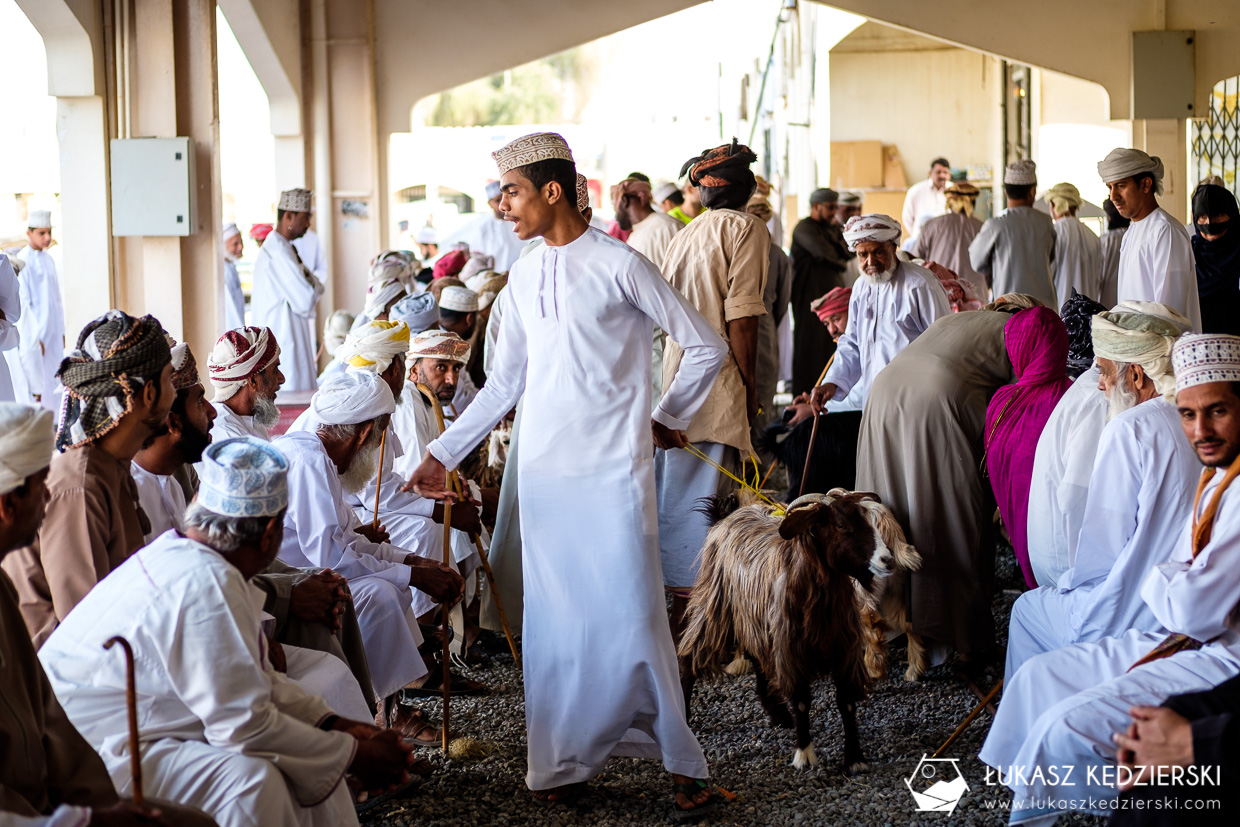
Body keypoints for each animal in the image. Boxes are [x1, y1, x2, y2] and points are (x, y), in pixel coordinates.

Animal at [679, 495, 892, 773]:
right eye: (841, 525)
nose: (887, 559)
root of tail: (723, 518)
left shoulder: (844, 650)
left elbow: (846, 702)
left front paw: (855, 759)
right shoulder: (792, 650)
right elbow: (801, 702)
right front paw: (804, 755)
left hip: (756, 622)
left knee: (759, 662)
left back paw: (778, 714)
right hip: (715, 607)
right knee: (688, 657)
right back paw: (683, 715)